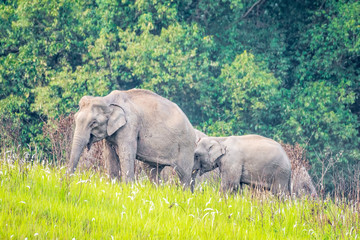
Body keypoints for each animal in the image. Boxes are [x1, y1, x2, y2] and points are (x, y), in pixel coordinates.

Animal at [67, 88, 197, 189]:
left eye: (93, 123)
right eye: (75, 118)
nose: (67, 183)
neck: (108, 100)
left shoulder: (130, 126)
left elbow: (126, 154)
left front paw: (128, 188)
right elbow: (109, 155)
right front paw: (114, 186)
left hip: (186, 146)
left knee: (184, 174)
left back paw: (185, 195)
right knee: (153, 170)